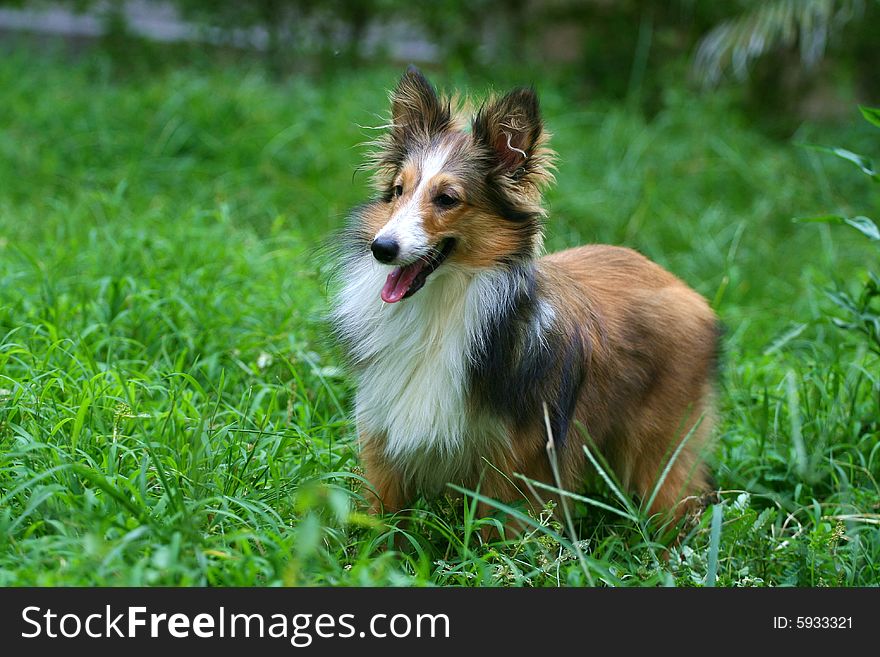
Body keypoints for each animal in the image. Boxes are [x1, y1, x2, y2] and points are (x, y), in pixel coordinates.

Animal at [326, 65, 720, 532]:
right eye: (400, 190)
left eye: (447, 199)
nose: (381, 248)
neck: (440, 310)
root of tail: (685, 289)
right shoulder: (383, 448)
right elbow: (383, 531)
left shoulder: (516, 471)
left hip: (660, 454)